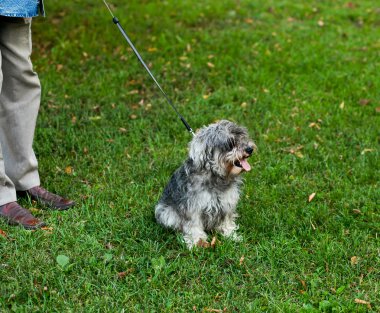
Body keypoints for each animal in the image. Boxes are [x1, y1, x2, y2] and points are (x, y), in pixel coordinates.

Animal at [154, 118, 255, 247]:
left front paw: (232, 235)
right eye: (230, 143)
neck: (216, 175)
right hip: (166, 213)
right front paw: (197, 242)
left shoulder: (226, 204)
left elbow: (226, 221)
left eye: (243, 137)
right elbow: (193, 226)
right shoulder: (192, 208)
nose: (249, 149)